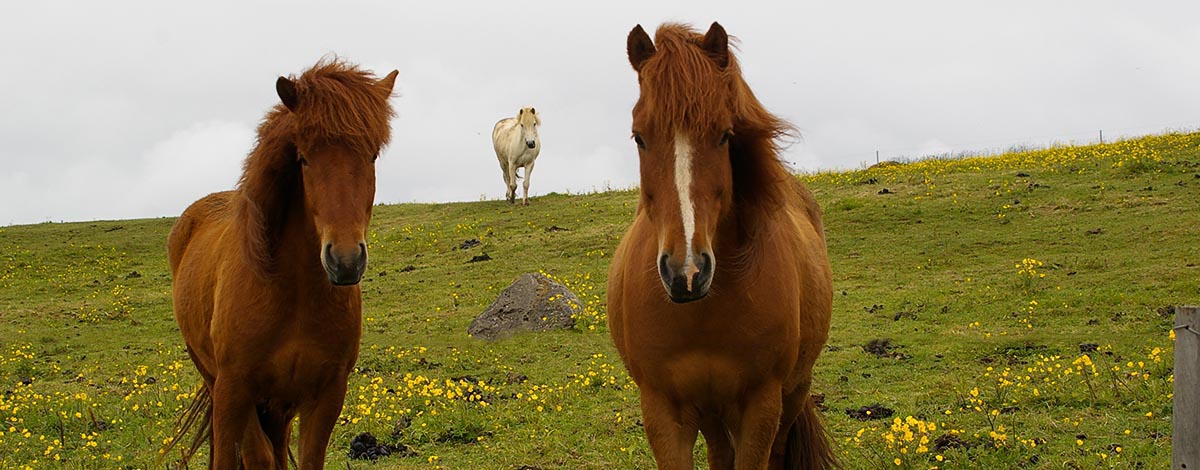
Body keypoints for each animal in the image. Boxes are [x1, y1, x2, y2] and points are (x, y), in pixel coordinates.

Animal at [165, 60, 398, 467]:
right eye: (303, 158)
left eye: (371, 156)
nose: (345, 260)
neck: (294, 294)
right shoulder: (233, 389)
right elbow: (247, 458)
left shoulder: (326, 394)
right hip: (217, 382)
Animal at [609, 22, 835, 470]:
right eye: (639, 137)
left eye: (724, 135)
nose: (687, 273)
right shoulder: (664, 411)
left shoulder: (761, 407)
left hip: (792, 393)